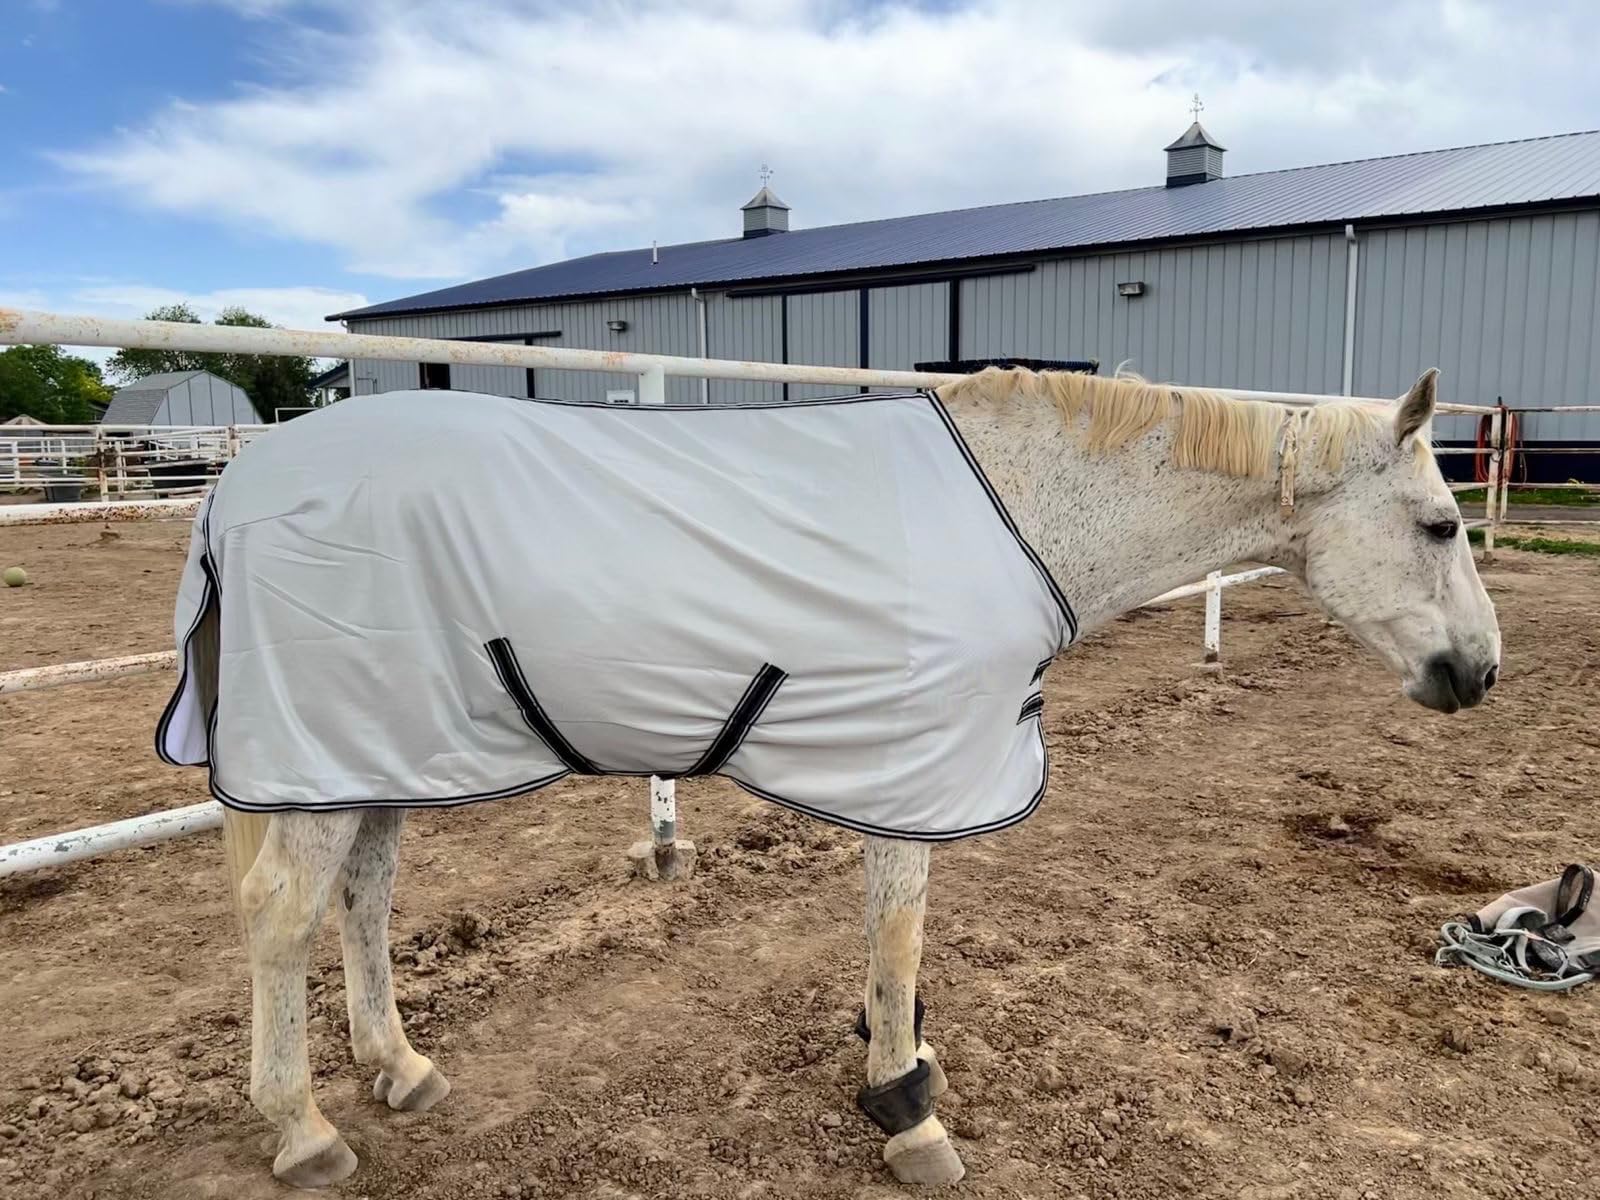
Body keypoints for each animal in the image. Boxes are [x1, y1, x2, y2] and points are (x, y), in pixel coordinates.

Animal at [159, 364, 1500, 1188]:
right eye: (1439, 525)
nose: (1479, 674)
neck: (1019, 511)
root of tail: (242, 484)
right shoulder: (913, 766)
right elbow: (898, 930)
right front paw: (907, 1105)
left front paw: (898, 1057)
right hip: (332, 753)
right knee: (283, 916)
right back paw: (303, 1129)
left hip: (378, 748)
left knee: (365, 898)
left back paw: (399, 1067)